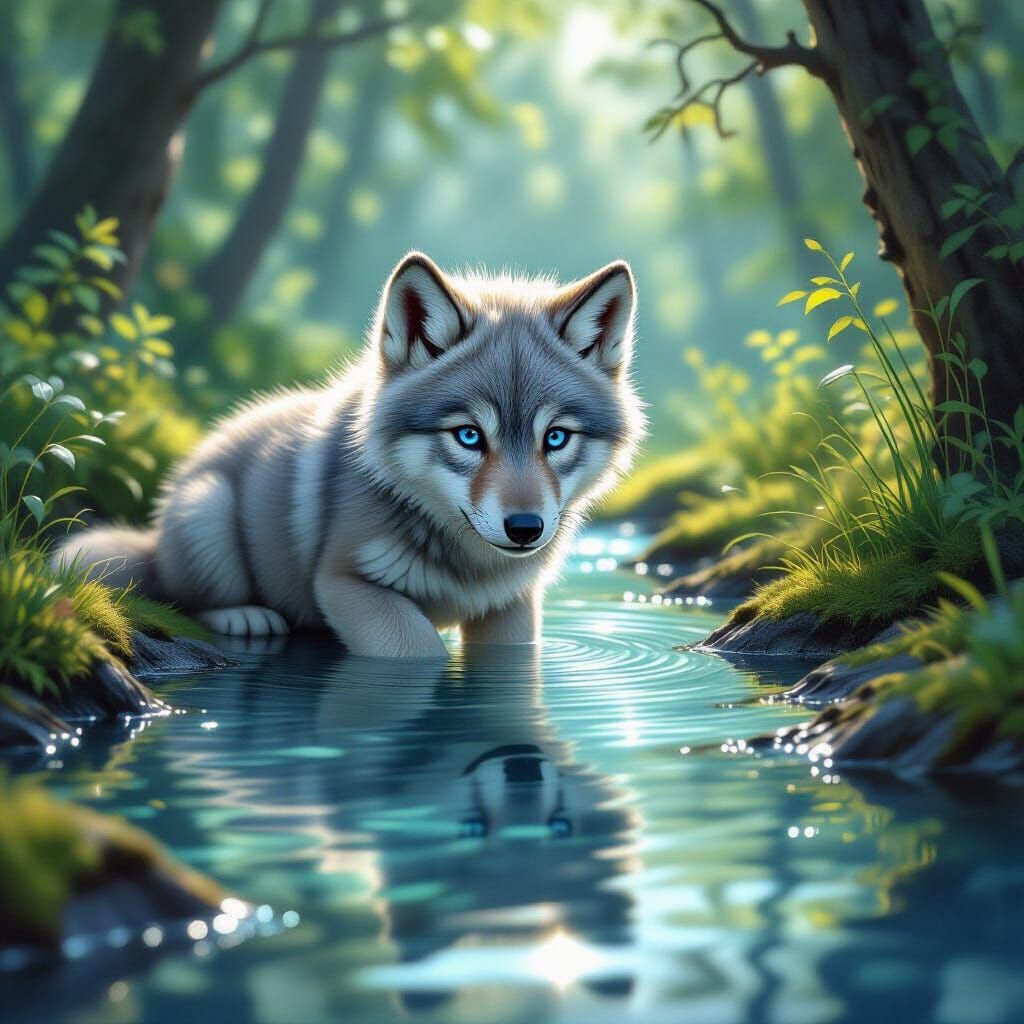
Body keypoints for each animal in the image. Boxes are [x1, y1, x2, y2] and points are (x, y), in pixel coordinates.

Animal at [59, 253, 643, 658]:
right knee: (189, 597)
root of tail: (154, 539)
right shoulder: (346, 584)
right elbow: (421, 652)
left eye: (556, 439)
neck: (468, 565)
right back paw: (245, 616)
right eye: (469, 436)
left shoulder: (510, 609)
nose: (525, 528)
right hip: (209, 511)